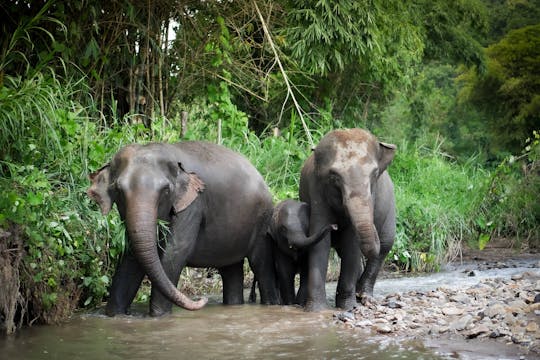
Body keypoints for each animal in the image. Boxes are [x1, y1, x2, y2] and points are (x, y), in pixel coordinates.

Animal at [86, 141, 280, 316]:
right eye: (118, 190)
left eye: (165, 190)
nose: (202, 299)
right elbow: (131, 256)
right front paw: (114, 314)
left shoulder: (193, 205)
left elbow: (175, 252)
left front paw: (159, 316)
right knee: (230, 269)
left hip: (262, 221)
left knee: (260, 264)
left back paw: (271, 304)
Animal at [300, 128, 396, 310]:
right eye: (334, 176)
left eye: (374, 174)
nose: (335, 226)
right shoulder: (317, 190)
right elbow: (320, 242)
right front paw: (316, 310)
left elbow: (352, 244)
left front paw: (348, 308)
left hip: (390, 210)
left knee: (385, 245)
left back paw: (364, 297)